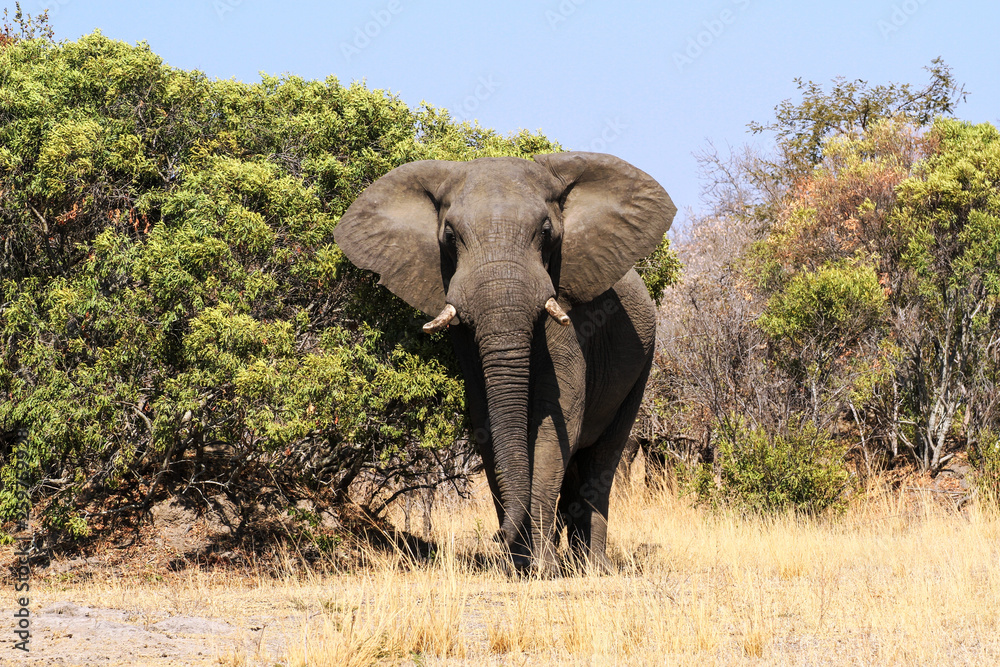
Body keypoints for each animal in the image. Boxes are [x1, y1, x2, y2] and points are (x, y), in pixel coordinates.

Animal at [332, 151, 676, 576]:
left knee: (603, 458)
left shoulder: (569, 316)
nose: (497, 537)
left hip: (643, 361)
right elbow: (486, 420)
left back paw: (592, 568)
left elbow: (556, 420)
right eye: (449, 237)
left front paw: (541, 569)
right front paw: (520, 567)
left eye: (546, 232)